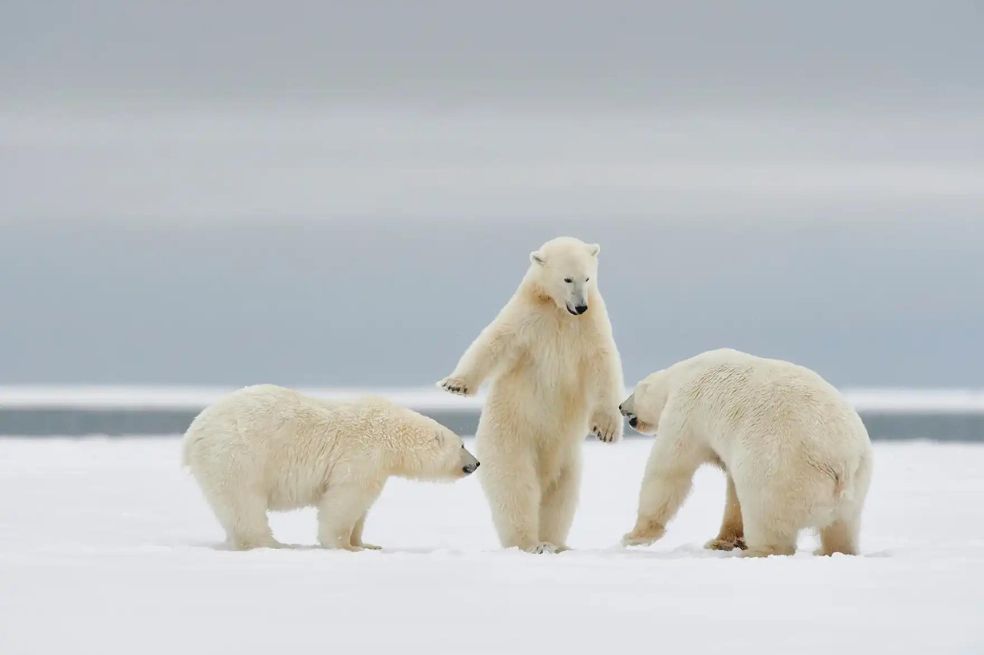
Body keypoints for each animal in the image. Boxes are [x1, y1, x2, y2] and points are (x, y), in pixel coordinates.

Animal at [182, 385, 479, 550]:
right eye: (463, 444)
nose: (476, 463)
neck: (391, 432)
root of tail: (192, 433)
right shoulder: (363, 455)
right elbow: (345, 501)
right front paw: (346, 546)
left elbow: (361, 509)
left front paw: (367, 543)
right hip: (237, 456)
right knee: (244, 504)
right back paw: (272, 543)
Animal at [438, 236, 624, 554]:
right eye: (567, 278)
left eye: (587, 277)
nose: (581, 306)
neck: (559, 312)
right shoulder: (528, 318)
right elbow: (494, 341)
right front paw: (456, 384)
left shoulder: (590, 327)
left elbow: (603, 366)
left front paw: (607, 429)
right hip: (511, 439)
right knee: (517, 488)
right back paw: (530, 543)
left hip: (568, 459)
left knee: (561, 497)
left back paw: (555, 542)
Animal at [619, 348, 873, 557]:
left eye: (633, 393)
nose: (620, 406)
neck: (684, 372)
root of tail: (842, 463)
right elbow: (733, 492)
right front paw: (722, 541)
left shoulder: (686, 411)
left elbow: (669, 469)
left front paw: (633, 536)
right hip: (857, 484)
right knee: (842, 527)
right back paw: (831, 550)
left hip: (781, 470)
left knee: (765, 514)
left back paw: (757, 550)